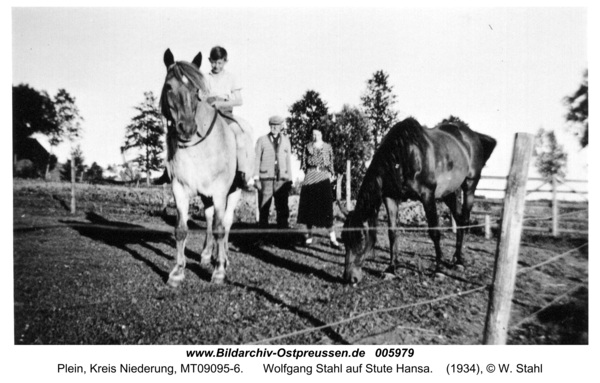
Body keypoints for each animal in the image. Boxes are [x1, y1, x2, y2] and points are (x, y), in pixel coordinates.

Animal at [159, 49, 253, 286]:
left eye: (196, 90)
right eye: (169, 86)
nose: (187, 128)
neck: (197, 148)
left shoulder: (220, 192)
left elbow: (220, 229)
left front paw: (219, 271)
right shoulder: (179, 189)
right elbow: (181, 229)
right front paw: (177, 272)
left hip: (234, 192)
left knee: (225, 223)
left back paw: (224, 258)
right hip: (206, 195)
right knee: (210, 220)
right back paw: (206, 255)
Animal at [342, 117, 496, 284]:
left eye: (361, 237)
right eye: (343, 238)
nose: (349, 278)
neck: (404, 155)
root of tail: (472, 135)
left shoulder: (427, 196)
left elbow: (435, 232)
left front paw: (438, 270)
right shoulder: (390, 197)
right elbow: (392, 233)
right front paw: (391, 269)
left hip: (469, 186)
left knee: (465, 220)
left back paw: (460, 262)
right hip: (448, 193)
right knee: (459, 219)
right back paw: (455, 258)